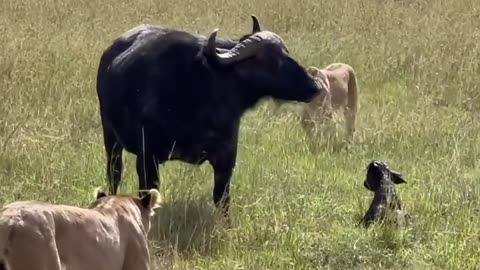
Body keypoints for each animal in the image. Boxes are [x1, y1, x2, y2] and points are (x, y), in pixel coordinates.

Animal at [95, 16, 320, 215]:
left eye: (286, 52)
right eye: (272, 61)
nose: (314, 86)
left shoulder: (226, 157)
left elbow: (222, 198)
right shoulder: (147, 157)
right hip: (111, 139)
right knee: (114, 173)